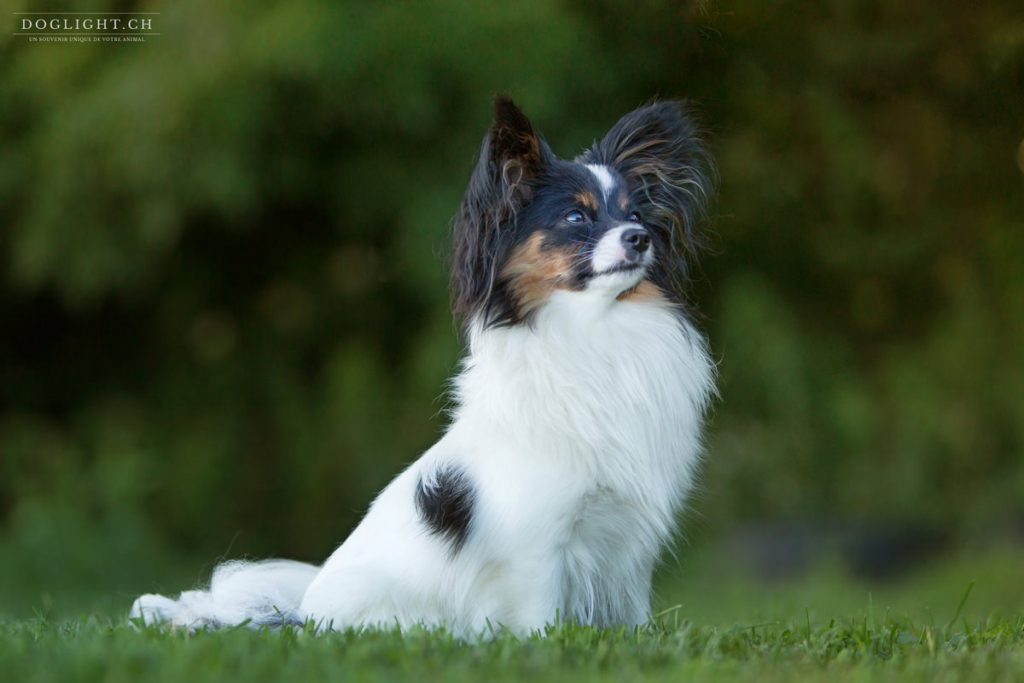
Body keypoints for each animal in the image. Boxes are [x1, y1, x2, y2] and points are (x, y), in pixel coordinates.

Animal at [132, 94, 716, 634]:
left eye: (635, 216)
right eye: (576, 217)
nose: (639, 238)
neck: (597, 330)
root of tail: (303, 617)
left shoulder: (626, 546)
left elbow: (632, 617)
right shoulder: (537, 545)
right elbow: (539, 617)